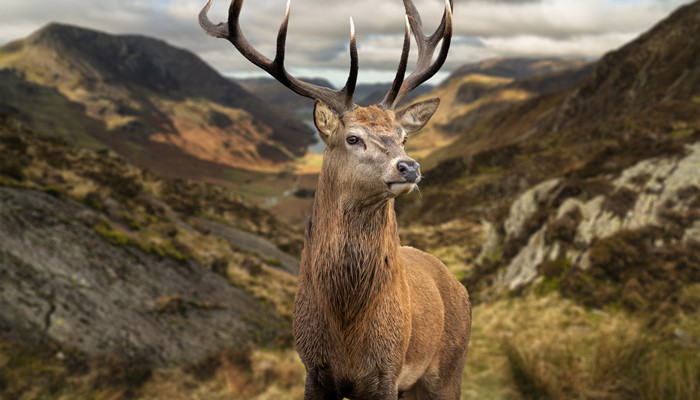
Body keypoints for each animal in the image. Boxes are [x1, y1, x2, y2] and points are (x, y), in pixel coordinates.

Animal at [198, 0, 470, 398]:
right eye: (353, 138)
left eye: (403, 137)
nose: (409, 167)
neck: (345, 326)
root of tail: (458, 284)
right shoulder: (312, 368)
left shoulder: (387, 372)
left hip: (450, 368)